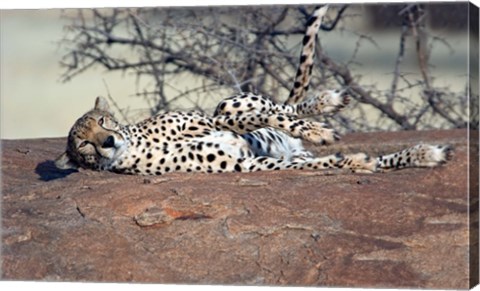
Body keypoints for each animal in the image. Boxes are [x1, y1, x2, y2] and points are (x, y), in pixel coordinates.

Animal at [54, 6, 452, 176]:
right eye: (83, 145)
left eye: (103, 121)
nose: (107, 141)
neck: (135, 143)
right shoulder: (248, 163)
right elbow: (325, 161)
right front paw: (355, 161)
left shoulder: (211, 120)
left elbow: (263, 117)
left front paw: (320, 128)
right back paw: (424, 154)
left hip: (227, 101)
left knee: (280, 107)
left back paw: (327, 104)